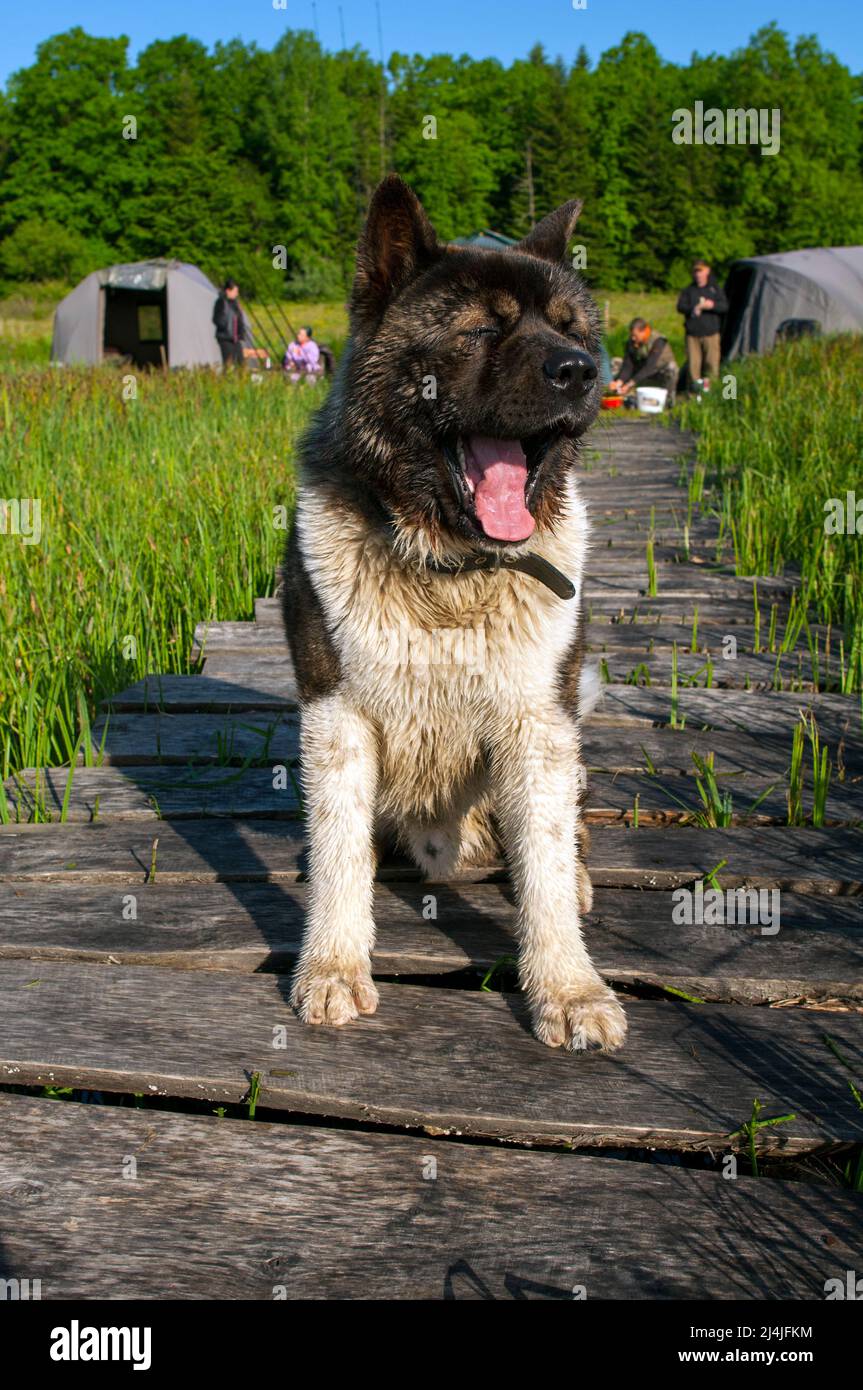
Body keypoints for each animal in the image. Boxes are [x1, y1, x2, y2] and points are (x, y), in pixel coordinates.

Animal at [282, 173, 625, 1045]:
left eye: (571, 328)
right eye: (481, 329)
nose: (580, 370)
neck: (449, 570)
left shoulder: (539, 723)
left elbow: (542, 865)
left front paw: (567, 987)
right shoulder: (336, 716)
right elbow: (339, 856)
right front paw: (331, 965)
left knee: (563, 835)